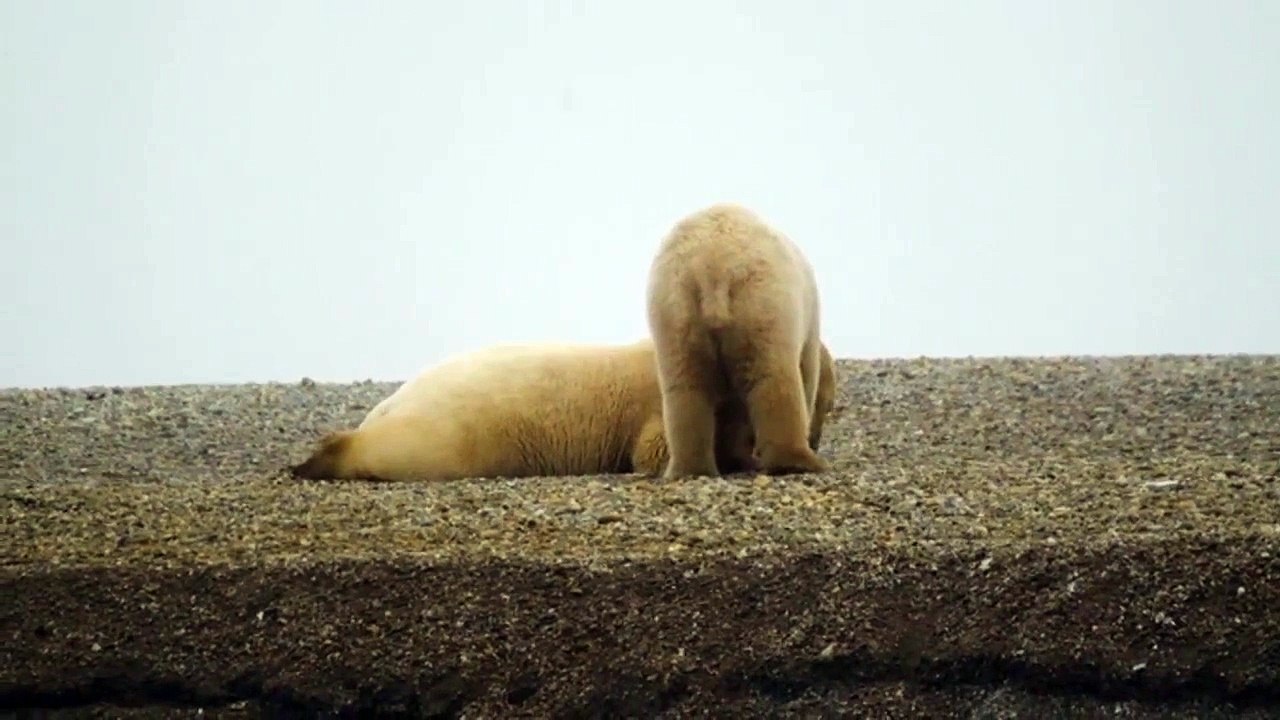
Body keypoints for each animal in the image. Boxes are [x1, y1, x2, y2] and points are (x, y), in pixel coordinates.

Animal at [645, 202, 832, 479]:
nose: (817, 441)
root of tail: (712, 263)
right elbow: (807, 373)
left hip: (675, 306)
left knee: (686, 384)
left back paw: (691, 468)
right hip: (761, 299)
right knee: (772, 375)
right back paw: (797, 461)